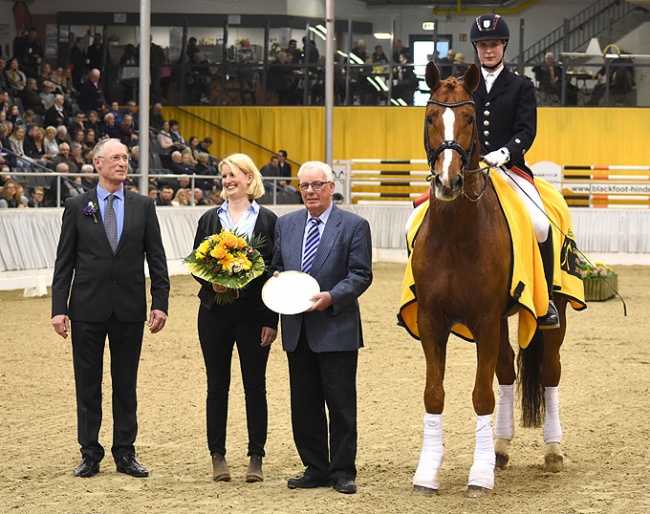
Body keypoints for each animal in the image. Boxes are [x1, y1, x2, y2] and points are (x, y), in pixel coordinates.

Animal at [410, 61, 568, 496]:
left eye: (468, 119)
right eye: (430, 117)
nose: (448, 183)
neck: (455, 232)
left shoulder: (482, 319)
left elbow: (482, 396)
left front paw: (478, 477)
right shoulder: (432, 320)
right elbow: (433, 394)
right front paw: (427, 473)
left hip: (553, 316)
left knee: (550, 371)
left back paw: (552, 452)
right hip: (499, 322)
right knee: (508, 371)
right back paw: (499, 448)